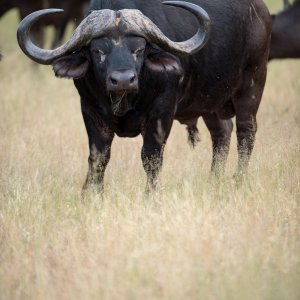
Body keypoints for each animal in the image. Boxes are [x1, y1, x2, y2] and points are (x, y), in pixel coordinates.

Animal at [17, 0, 274, 192]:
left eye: (138, 49)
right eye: (98, 50)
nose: (123, 79)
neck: (125, 101)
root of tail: (261, 11)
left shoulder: (162, 111)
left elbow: (151, 157)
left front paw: (151, 195)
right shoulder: (89, 109)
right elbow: (98, 156)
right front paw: (91, 194)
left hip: (253, 83)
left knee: (246, 133)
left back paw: (238, 180)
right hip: (209, 101)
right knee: (222, 133)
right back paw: (213, 182)